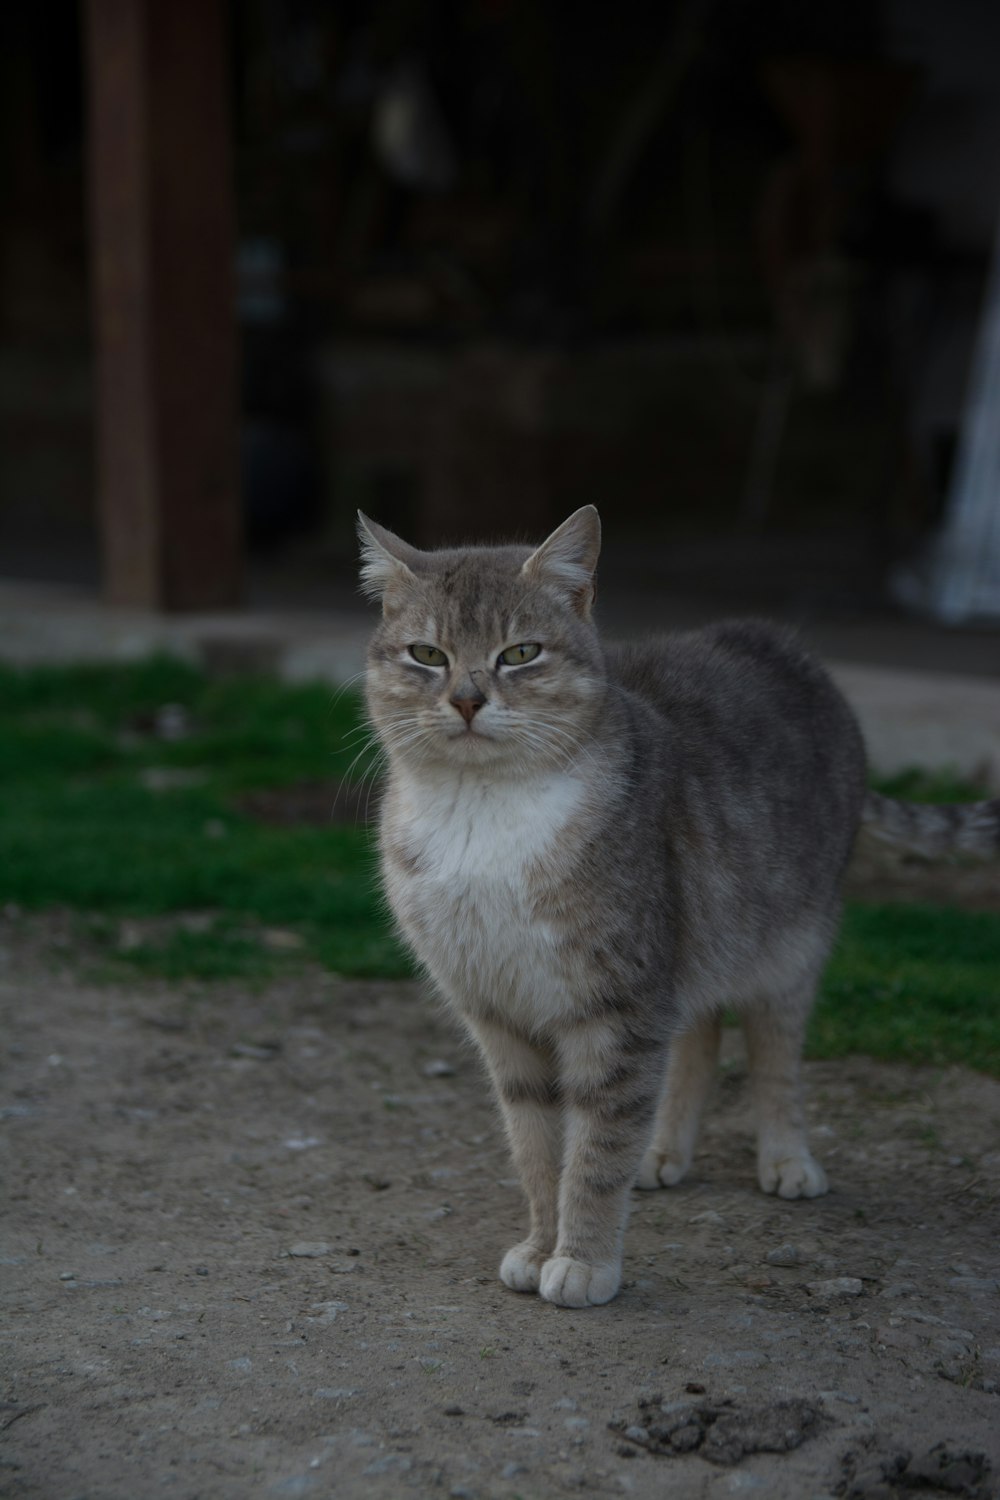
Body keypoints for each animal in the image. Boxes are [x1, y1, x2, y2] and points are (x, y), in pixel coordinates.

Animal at [359, 504, 1000, 1302]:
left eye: (520, 653)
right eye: (426, 653)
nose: (468, 699)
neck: (483, 820)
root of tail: (783, 643)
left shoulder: (621, 1006)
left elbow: (596, 1150)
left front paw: (584, 1262)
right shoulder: (499, 1012)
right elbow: (535, 1148)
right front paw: (540, 1245)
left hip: (788, 950)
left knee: (774, 1057)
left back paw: (787, 1160)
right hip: (697, 947)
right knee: (699, 1040)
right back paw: (664, 1152)